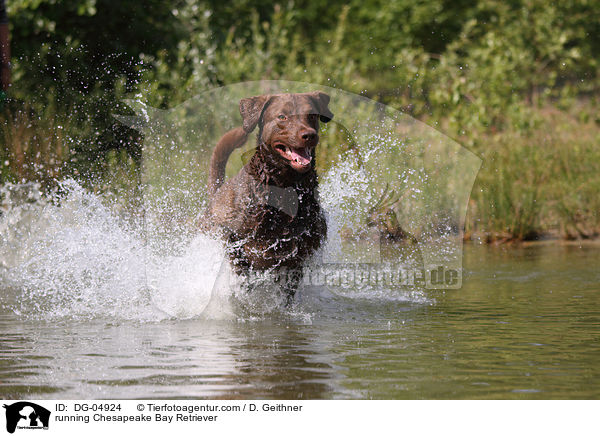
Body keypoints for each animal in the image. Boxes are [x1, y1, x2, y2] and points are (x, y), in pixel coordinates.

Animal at [203, 90, 332, 298]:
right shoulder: (235, 241)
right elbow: (241, 275)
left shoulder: (298, 255)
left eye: (312, 115)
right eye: (282, 116)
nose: (309, 135)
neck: (285, 190)